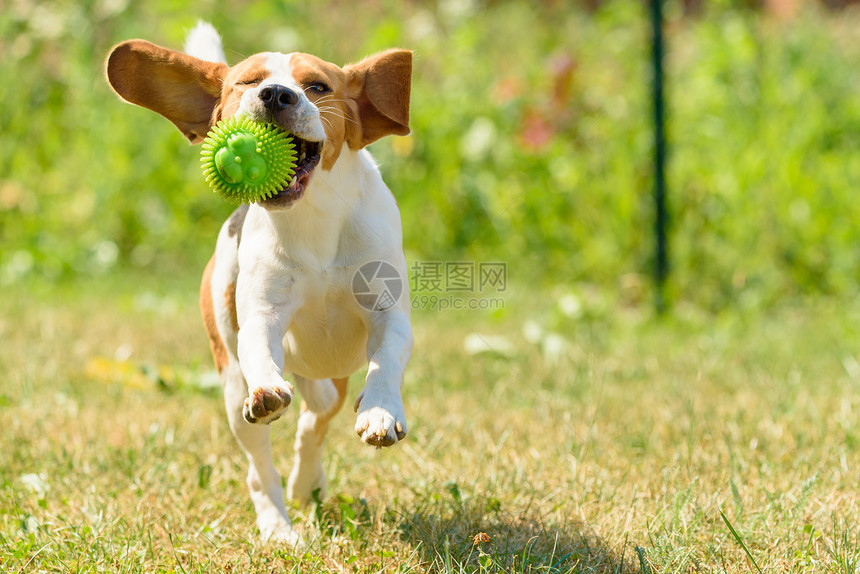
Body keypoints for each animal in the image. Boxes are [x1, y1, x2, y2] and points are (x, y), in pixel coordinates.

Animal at [106, 22, 414, 544]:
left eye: (318, 86)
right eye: (247, 82)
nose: (275, 94)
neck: (313, 220)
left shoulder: (388, 315)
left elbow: (387, 359)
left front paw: (380, 412)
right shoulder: (261, 318)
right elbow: (260, 347)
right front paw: (269, 388)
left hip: (330, 376)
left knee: (316, 417)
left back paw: (307, 482)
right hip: (232, 389)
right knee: (260, 464)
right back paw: (277, 524)